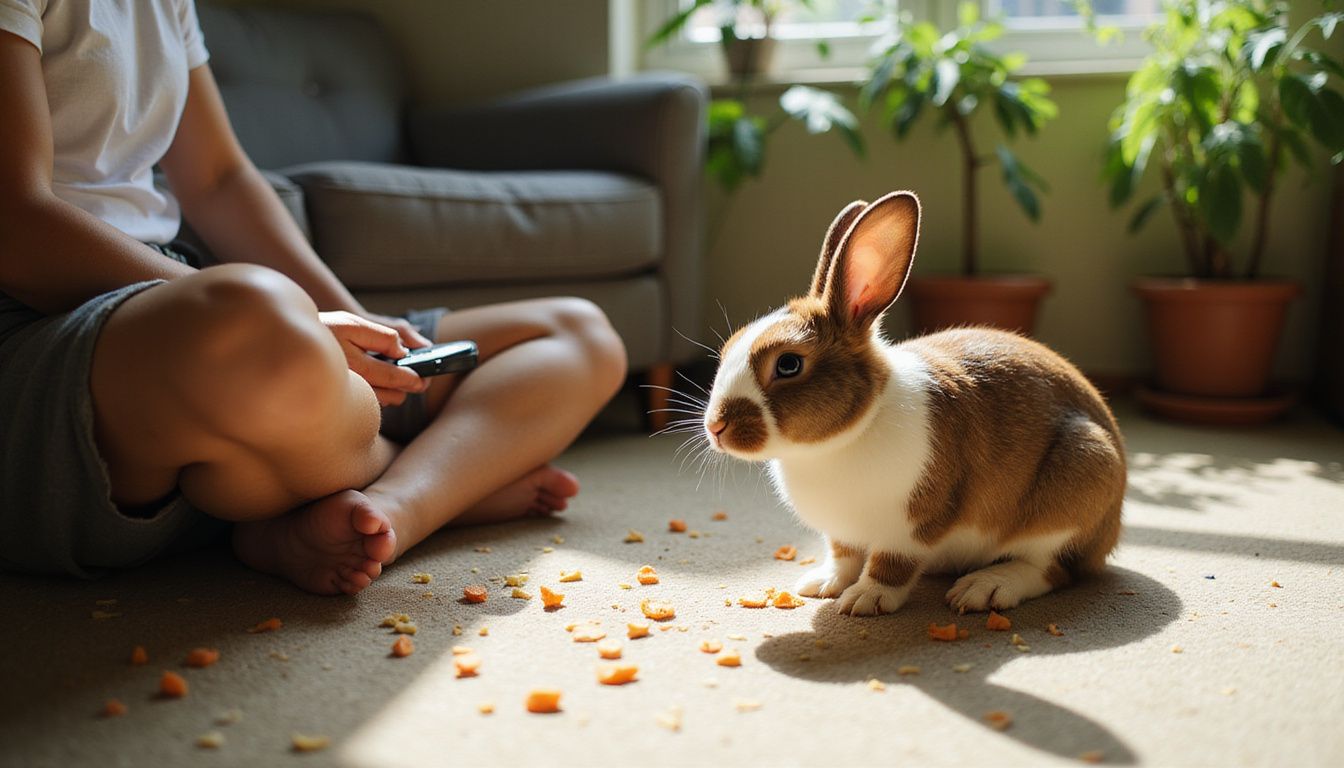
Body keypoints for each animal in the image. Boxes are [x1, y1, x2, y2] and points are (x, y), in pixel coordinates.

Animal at [702, 191, 1125, 616]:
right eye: (729, 346)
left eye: (788, 364)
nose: (715, 427)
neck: (843, 439)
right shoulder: (843, 533)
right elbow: (843, 556)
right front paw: (822, 584)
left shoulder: (912, 525)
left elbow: (892, 563)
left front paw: (865, 600)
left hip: (1076, 484)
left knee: (1051, 568)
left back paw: (984, 588)